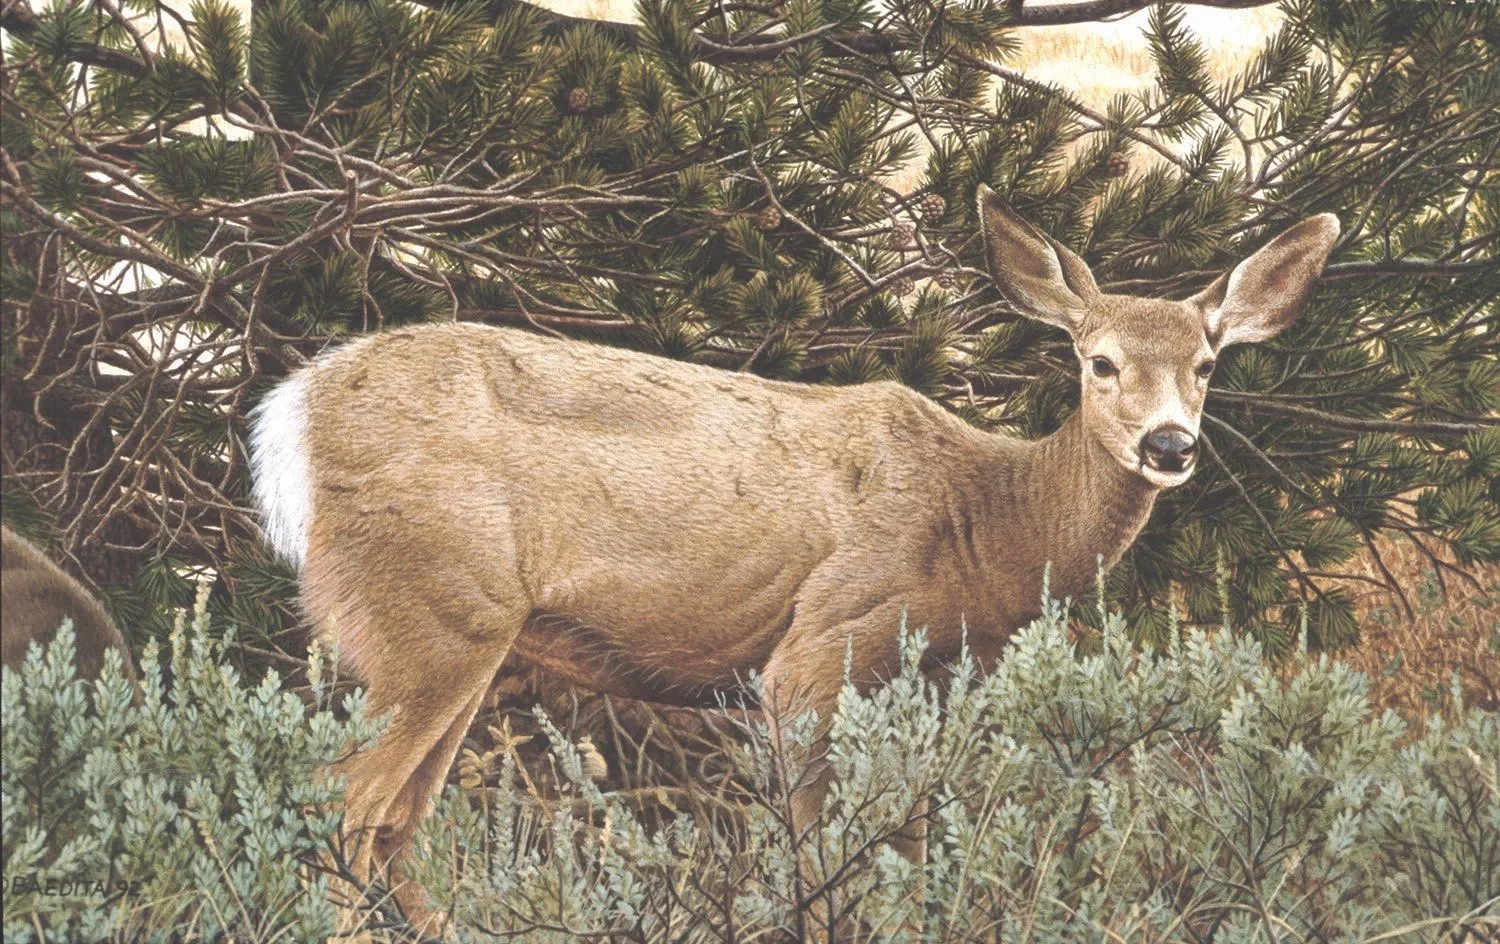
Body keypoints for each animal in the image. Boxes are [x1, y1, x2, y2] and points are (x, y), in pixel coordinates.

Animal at [248, 185, 1339, 931]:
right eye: (1099, 361)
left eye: (1207, 364)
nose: (1170, 444)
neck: (983, 525)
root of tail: (289, 413)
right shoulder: (819, 652)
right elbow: (818, 854)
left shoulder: (924, 682)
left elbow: (907, 849)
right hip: (429, 610)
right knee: (343, 803)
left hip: (460, 635)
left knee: (395, 822)